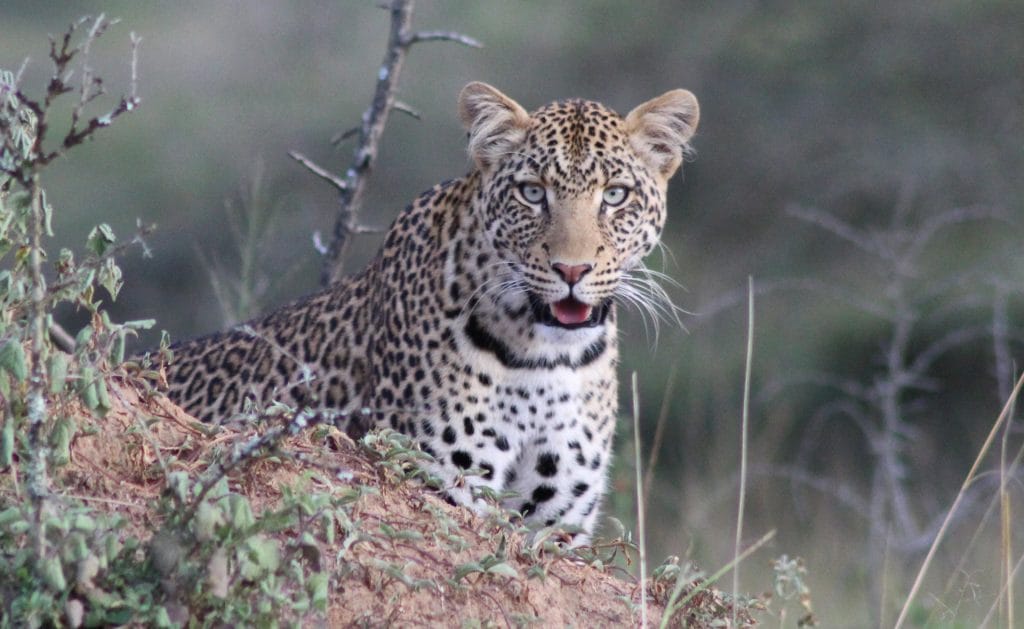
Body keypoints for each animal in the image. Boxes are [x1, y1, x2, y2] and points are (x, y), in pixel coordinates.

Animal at [163, 82, 699, 541]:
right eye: (532, 192)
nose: (572, 269)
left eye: (615, 195)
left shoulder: (556, 520)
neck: (544, 361)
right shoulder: (442, 476)